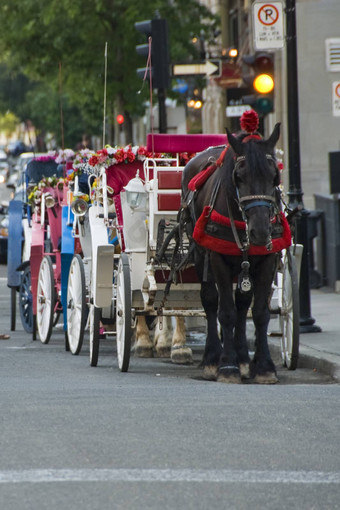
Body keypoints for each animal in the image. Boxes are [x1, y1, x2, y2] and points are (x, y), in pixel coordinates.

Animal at [181, 123, 290, 382]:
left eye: (275, 176)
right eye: (238, 177)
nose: (260, 231)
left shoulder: (267, 261)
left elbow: (259, 312)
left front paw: (264, 366)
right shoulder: (217, 259)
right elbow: (226, 312)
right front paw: (227, 366)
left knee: (242, 303)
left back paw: (242, 358)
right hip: (201, 254)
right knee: (210, 301)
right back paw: (213, 357)